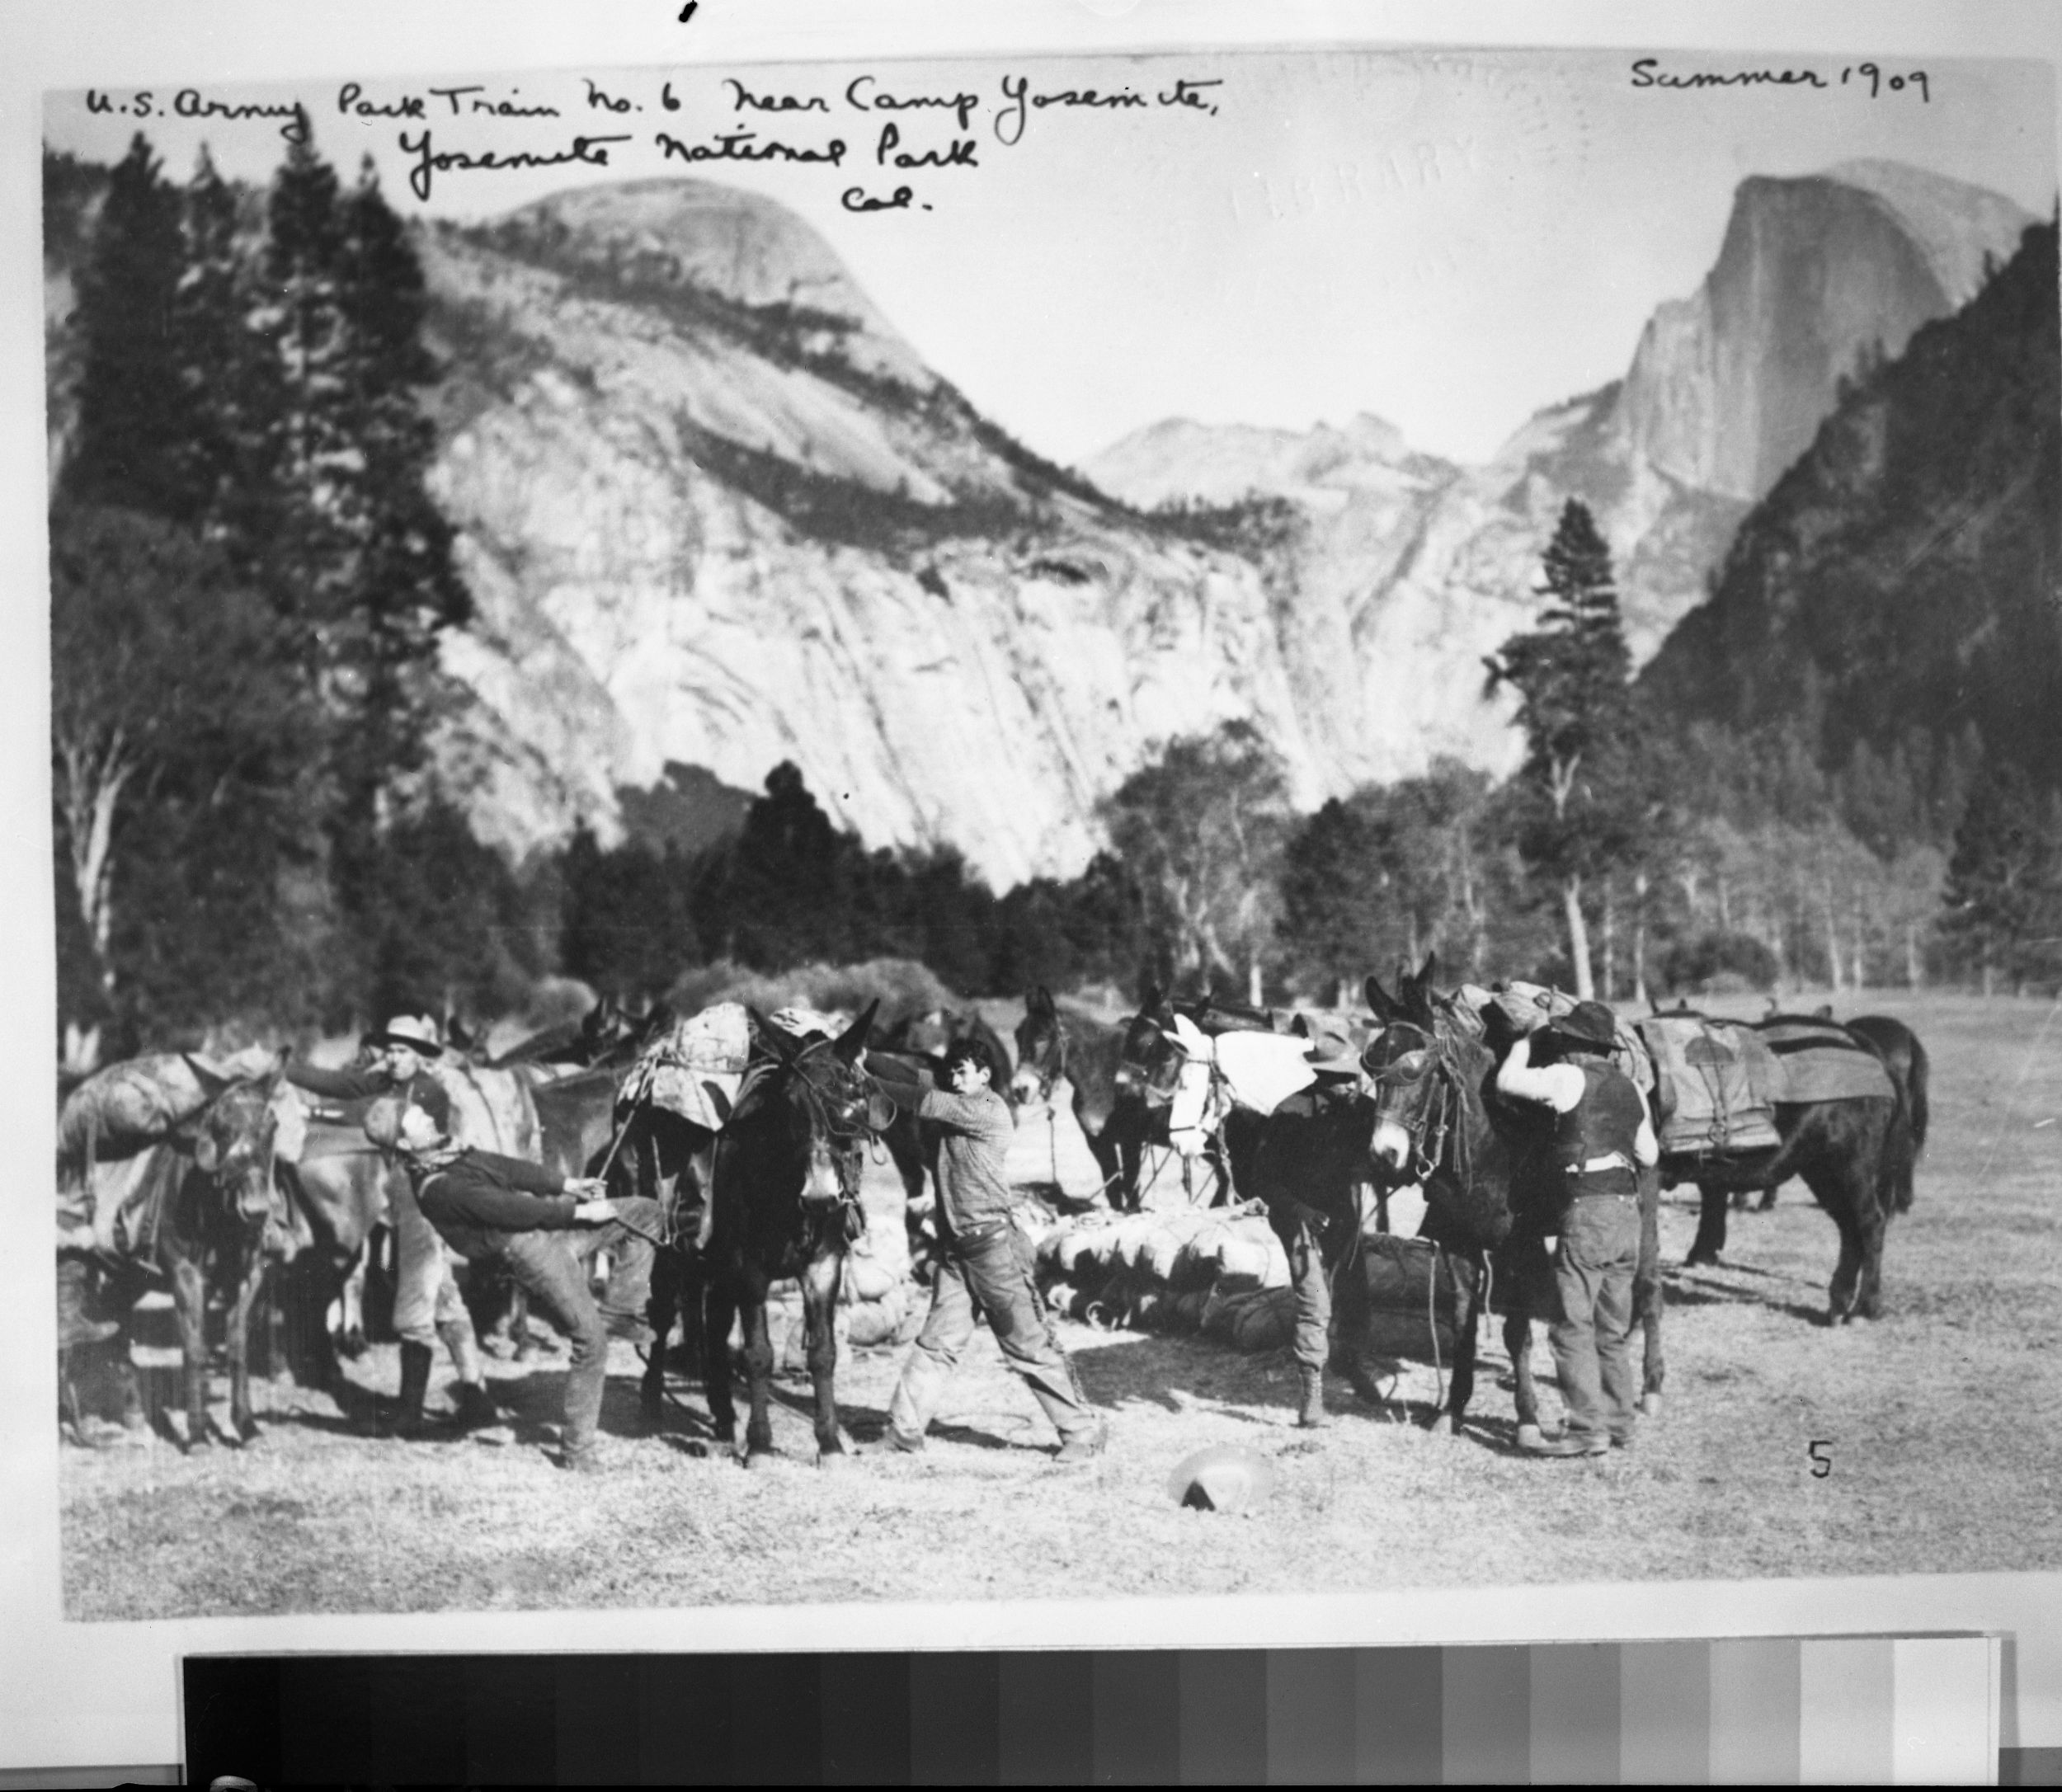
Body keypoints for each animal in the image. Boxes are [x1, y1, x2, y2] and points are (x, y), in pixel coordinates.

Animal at [627, 998, 887, 1460]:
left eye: (852, 1103)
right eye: (792, 1107)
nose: (820, 1196)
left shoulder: (824, 1265)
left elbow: (823, 1353)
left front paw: (830, 1443)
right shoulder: (749, 1267)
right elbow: (758, 1353)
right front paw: (762, 1444)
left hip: (715, 1264)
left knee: (714, 1327)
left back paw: (723, 1416)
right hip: (671, 1241)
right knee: (662, 1313)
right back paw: (653, 1402)